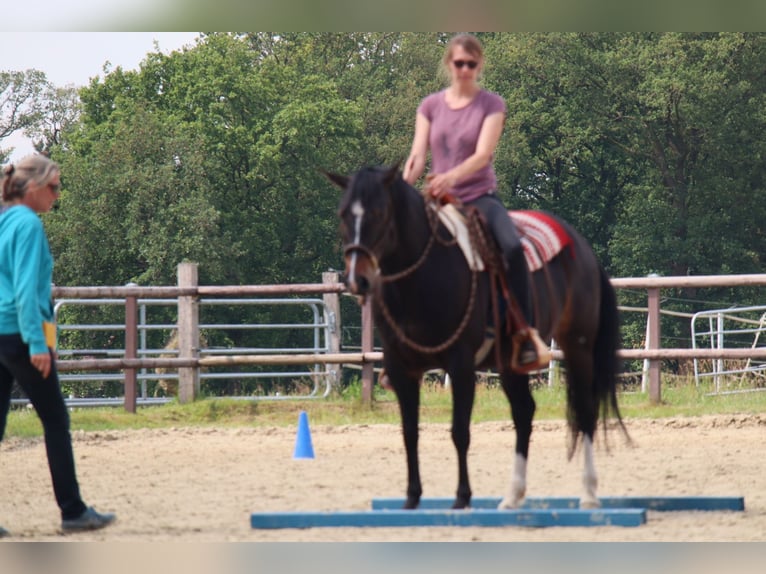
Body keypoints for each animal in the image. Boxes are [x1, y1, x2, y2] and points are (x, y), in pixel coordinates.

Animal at [328, 164, 628, 510]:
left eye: (378, 212)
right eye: (342, 214)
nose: (356, 278)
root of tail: (583, 247)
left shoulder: (460, 364)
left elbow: (460, 430)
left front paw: (462, 497)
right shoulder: (402, 368)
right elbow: (409, 432)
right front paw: (412, 498)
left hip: (578, 345)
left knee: (585, 411)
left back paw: (589, 493)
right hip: (511, 364)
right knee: (524, 412)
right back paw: (512, 496)